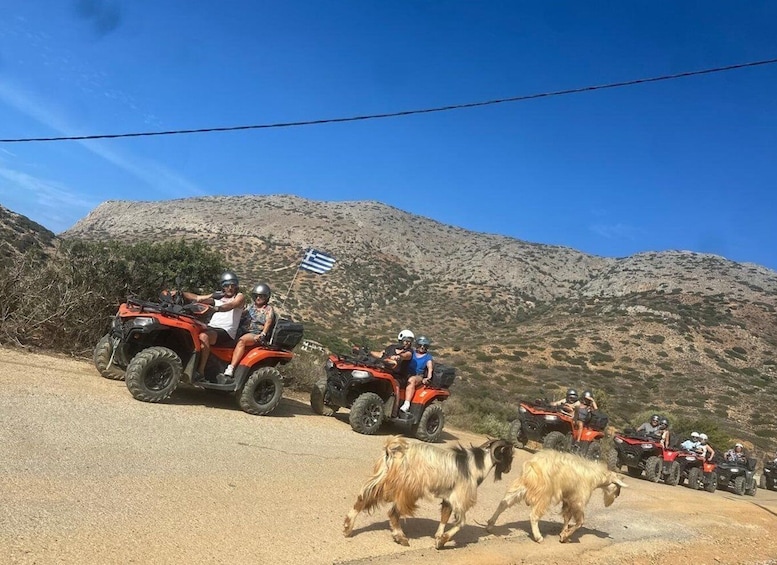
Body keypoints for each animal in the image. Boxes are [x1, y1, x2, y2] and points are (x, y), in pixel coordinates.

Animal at [342, 434, 512, 548]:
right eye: (509, 454)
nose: (509, 469)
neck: (476, 465)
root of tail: (392, 450)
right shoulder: (459, 497)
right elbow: (461, 522)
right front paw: (442, 541)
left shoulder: (448, 497)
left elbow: (445, 515)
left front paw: (438, 536)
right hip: (409, 488)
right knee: (393, 512)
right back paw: (401, 538)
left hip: (382, 478)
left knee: (363, 498)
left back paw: (347, 528)